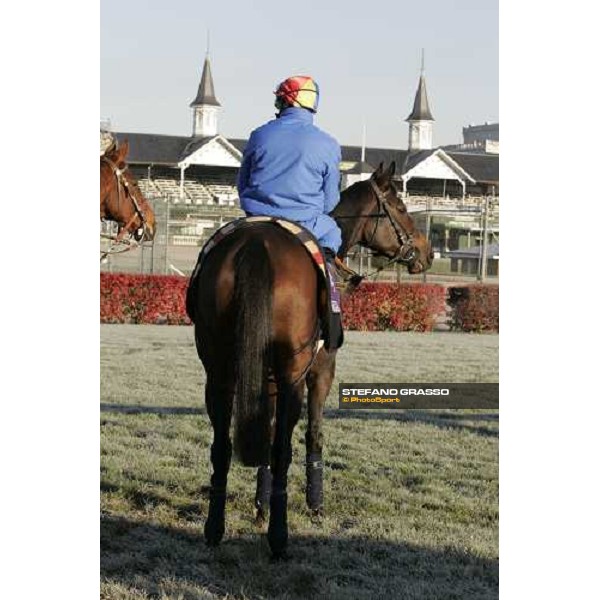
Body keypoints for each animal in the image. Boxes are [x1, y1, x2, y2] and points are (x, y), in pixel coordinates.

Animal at [186, 161, 432, 556]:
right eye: (402, 207)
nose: (426, 252)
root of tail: (256, 245)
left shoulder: (266, 377)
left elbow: (266, 432)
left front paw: (260, 505)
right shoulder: (321, 371)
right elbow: (314, 433)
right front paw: (314, 504)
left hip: (219, 372)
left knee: (223, 446)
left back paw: (215, 529)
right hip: (293, 375)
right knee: (283, 448)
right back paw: (279, 537)